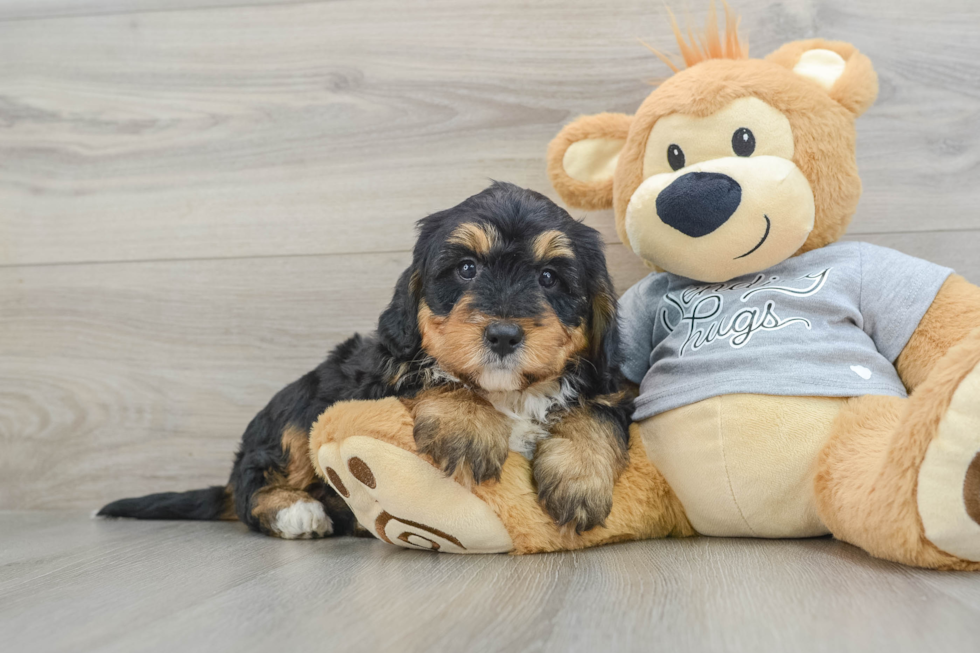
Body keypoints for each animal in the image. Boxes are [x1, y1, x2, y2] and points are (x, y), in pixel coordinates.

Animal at [99, 182, 632, 536]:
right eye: (466, 269)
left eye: (549, 278)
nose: (503, 335)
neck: (509, 393)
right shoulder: (381, 373)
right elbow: (434, 377)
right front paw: (467, 424)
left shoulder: (607, 384)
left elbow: (597, 414)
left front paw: (580, 477)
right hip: (298, 413)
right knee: (256, 482)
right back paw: (297, 511)